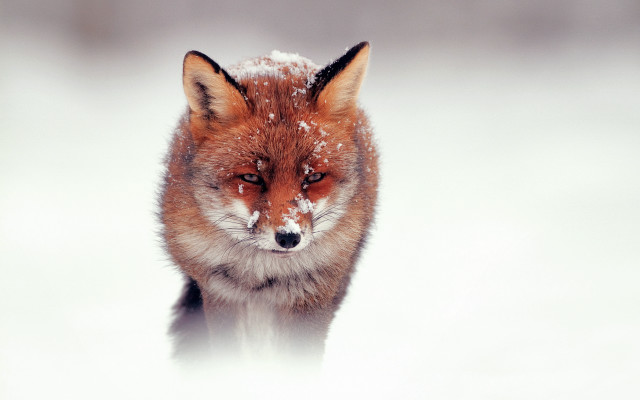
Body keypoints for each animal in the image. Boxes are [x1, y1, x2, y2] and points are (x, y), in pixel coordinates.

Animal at [159, 42, 378, 362]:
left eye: (314, 177)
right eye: (251, 177)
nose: (288, 237)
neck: (263, 274)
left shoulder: (312, 295)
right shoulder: (219, 292)